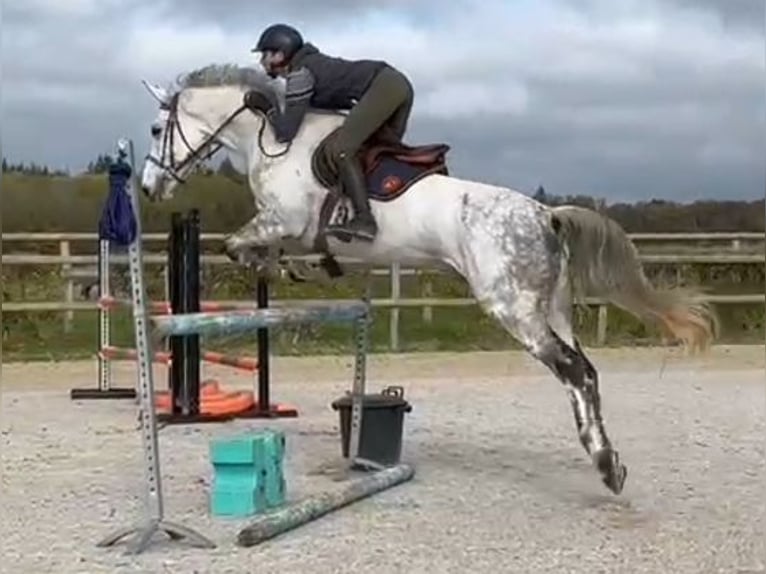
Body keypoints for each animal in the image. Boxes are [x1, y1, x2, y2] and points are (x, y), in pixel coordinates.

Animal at [138, 63, 717, 496]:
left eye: (155, 130)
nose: (147, 188)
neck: (273, 140)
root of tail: (546, 215)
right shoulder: (287, 228)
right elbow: (268, 250)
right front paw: (302, 267)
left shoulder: (284, 220)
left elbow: (241, 246)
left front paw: (279, 267)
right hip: (552, 308)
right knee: (587, 371)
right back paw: (609, 461)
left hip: (513, 308)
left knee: (573, 371)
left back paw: (604, 464)